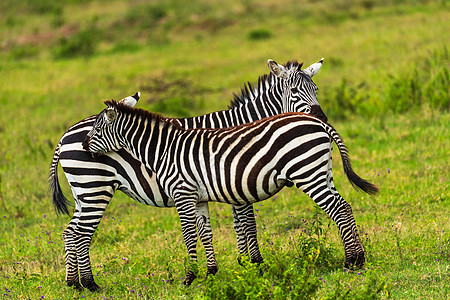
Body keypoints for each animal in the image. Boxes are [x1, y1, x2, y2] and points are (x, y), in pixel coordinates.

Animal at [49, 58, 326, 290]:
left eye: (316, 90)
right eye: (294, 91)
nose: (320, 117)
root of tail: (65, 135)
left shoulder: (231, 184)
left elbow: (237, 224)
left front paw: (242, 263)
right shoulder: (236, 181)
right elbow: (246, 224)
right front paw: (253, 264)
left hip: (82, 193)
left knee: (70, 232)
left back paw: (73, 283)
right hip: (94, 188)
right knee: (81, 234)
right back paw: (90, 283)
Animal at [82, 100, 378, 286]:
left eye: (97, 129)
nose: (84, 146)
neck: (165, 150)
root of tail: (318, 123)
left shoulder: (182, 193)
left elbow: (189, 236)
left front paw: (189, 277)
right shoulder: (199, 197)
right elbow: (205, 233)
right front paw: (211, 273)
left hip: (307, 172)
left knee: (338, 209)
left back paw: (351, 261)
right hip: (321, 171)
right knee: (345, 207)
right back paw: (359, 258)